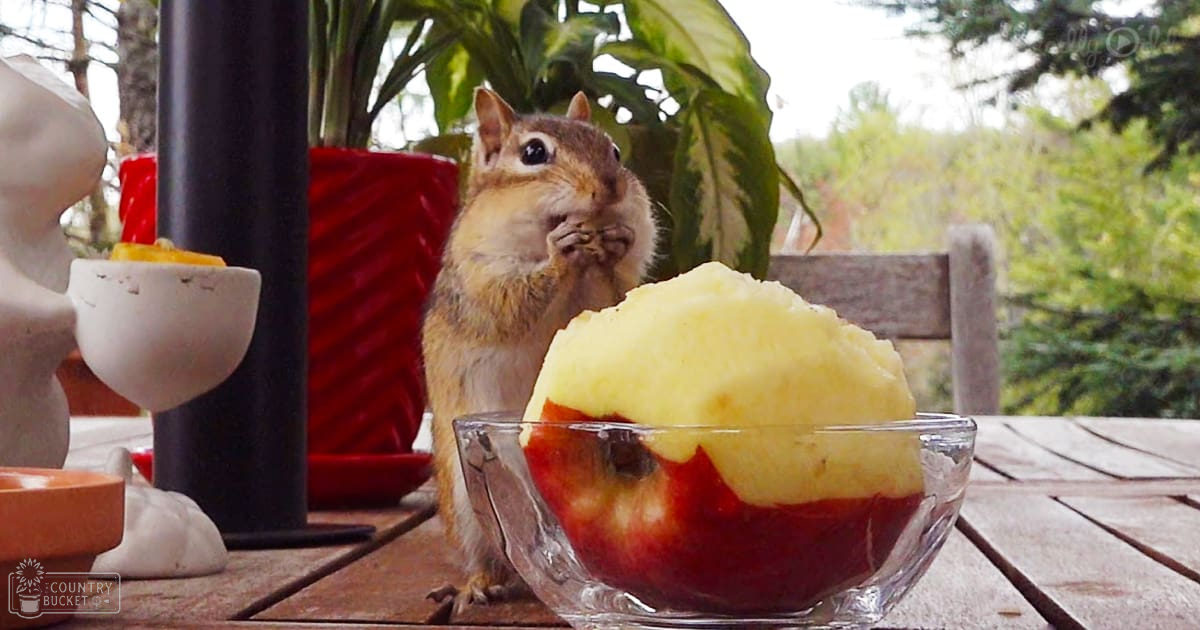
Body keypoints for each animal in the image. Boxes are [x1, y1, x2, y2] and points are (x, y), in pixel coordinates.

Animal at [421, 88, 656, 612]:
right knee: (491, 554)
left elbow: (613, 299)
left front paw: (613, 242)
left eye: (615, 151)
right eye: (533, 153)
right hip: (466, 500)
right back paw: (480, 584)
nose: (611, 188)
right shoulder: (480, 278)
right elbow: (512, 303)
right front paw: (559, 250)